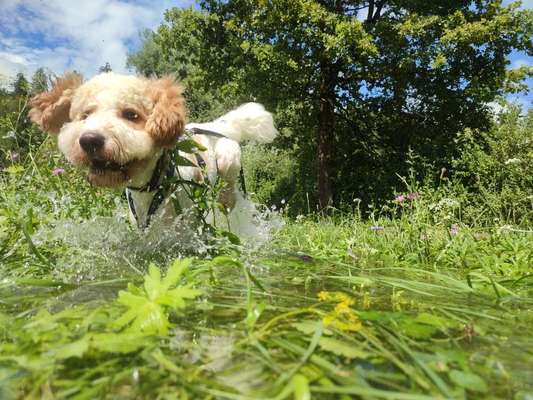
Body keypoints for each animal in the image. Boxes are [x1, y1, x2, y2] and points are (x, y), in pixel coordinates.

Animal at [30, 72, 278, 228]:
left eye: (131, 114)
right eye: (85, 115)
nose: (90, 141)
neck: (151, 185)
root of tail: (216, 126)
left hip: (229, 158)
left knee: (229, 186)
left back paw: (227, 199)